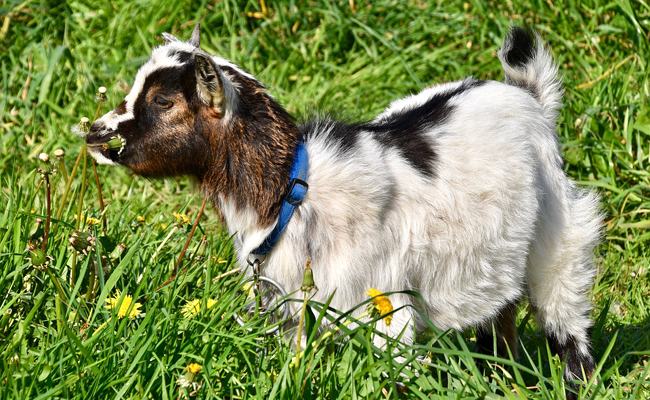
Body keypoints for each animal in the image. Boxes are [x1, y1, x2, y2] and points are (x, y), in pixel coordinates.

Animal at [85, 23, 596, 396]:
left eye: (164, 101)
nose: (94, 131)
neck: (291, 194)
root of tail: (526, 94)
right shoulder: (288, 308)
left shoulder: (385, 306)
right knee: (500, 313)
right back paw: (500, 377)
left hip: (559, 231)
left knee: (564, 309)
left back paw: (577, 381)